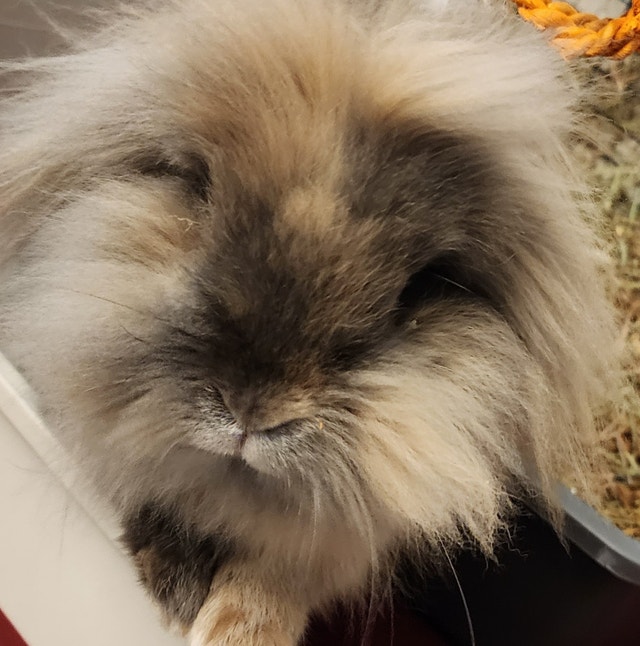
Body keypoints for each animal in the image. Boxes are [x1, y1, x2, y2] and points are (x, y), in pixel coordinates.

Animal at [0, 0, 621, 644]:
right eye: (194, 183)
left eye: (421, 286)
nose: (253, 413)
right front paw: (179, 588)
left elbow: (284, 571)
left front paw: (239, 632)